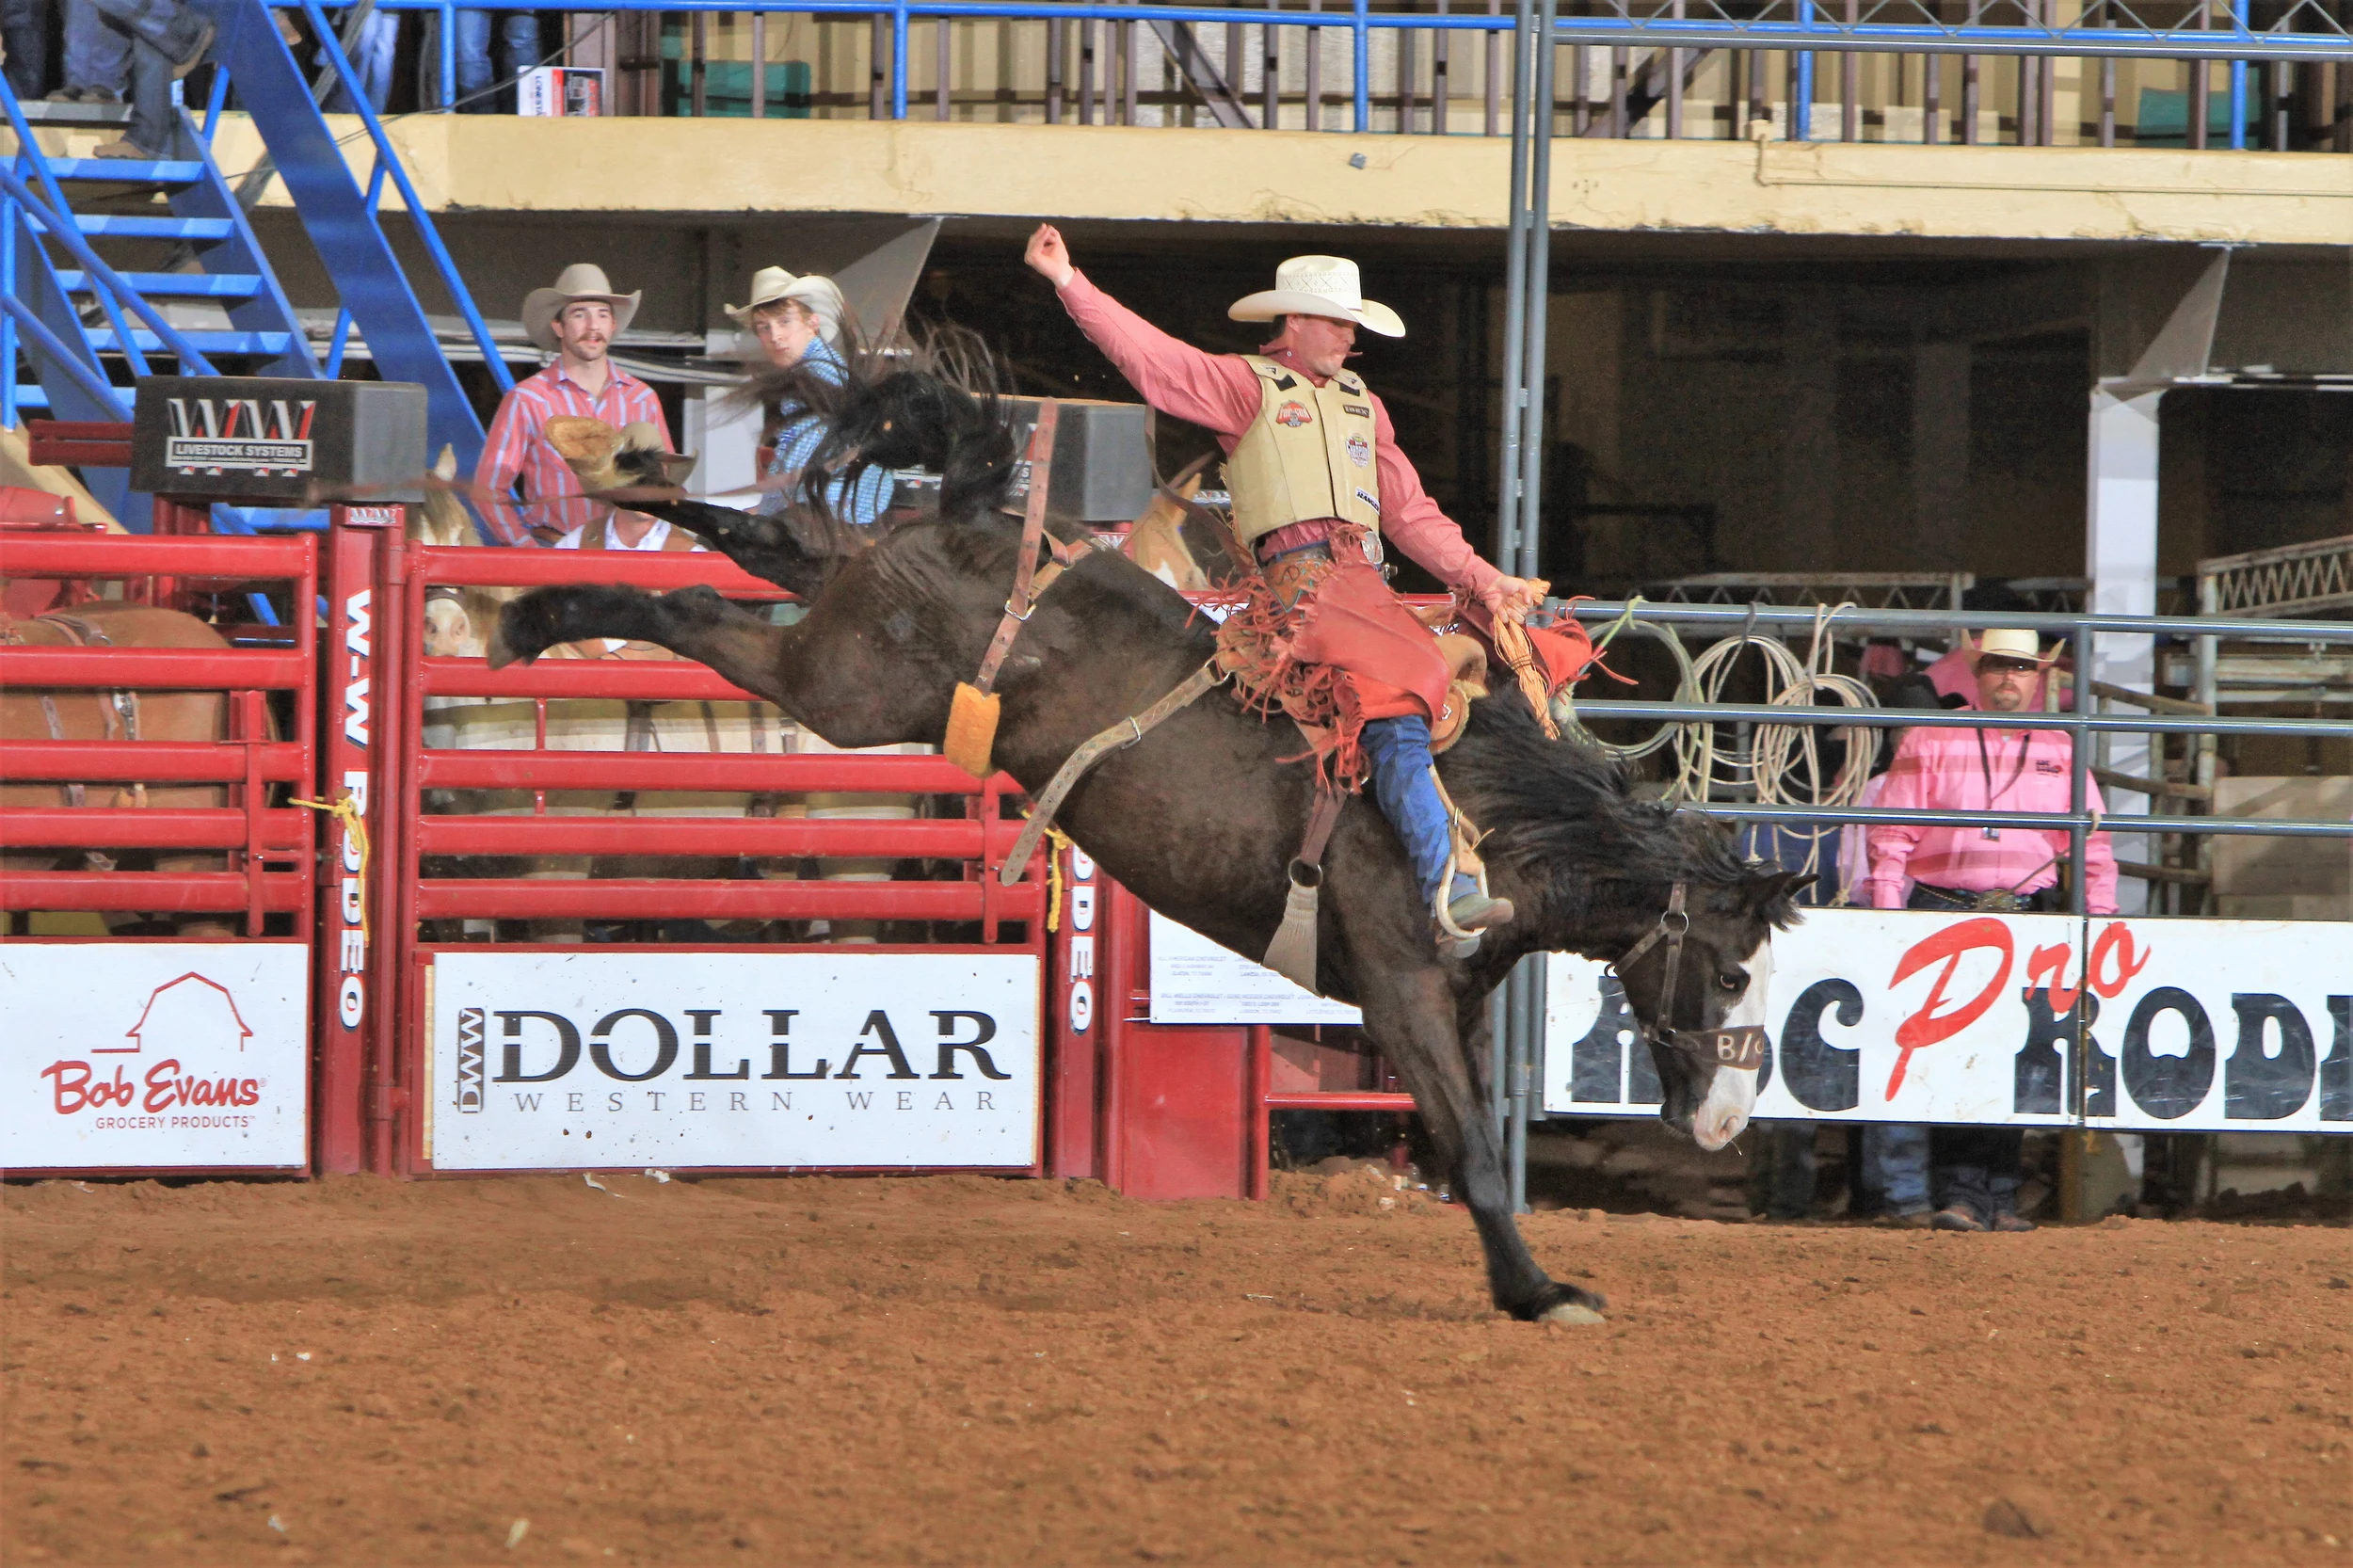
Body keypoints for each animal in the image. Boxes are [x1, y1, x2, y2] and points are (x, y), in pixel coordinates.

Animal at [482, 358, 1798, 1318]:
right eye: (1735, 972)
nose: (1731, 1123)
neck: (1488, 822)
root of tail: (974, 518)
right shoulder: (1401, 992)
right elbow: (1472, 1149)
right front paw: (1539, 1295)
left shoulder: (1459, 1005)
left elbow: (1469, 1142)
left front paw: (1529, 1281)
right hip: (848, 689)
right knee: (706, 610)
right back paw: (535, 611)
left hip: (842, 605)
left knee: (764, 545)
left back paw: (619, 505)